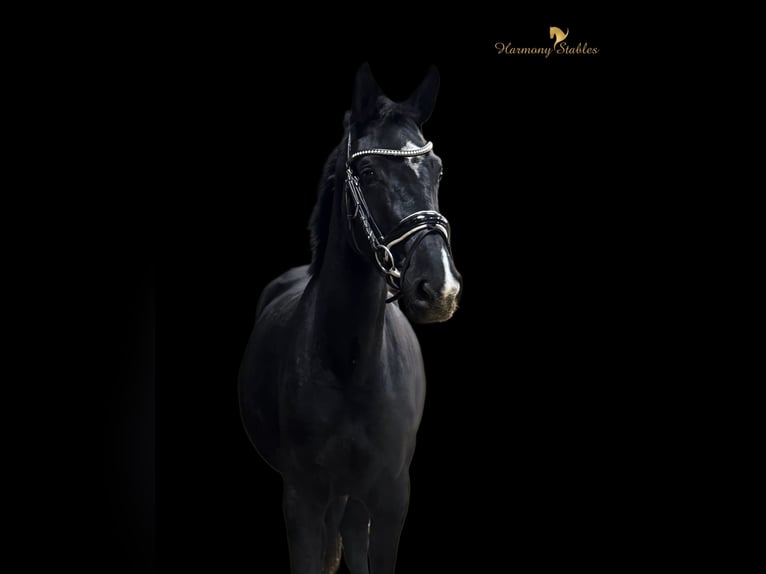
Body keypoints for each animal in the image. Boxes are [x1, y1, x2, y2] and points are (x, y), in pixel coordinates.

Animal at [239, 63, 462, 573]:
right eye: (368, 171)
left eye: (437, 169)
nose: (439, 289)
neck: (351, 365)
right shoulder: (301, 498)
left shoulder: (391, 499)